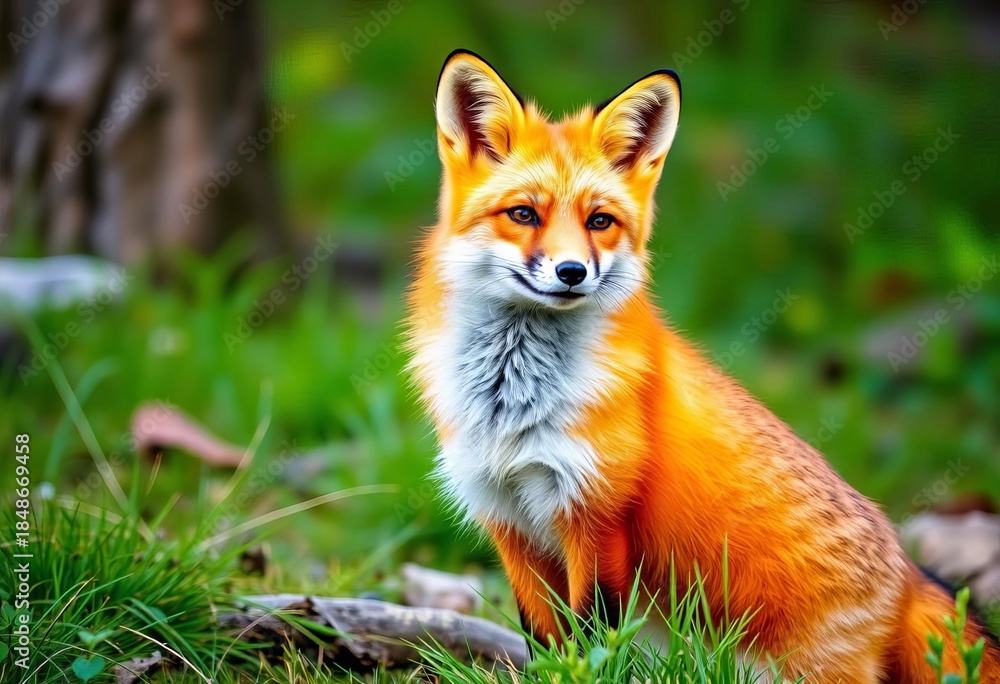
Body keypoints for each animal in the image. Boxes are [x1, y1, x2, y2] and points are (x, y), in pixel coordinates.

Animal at [405, 49, 1000, 683]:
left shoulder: (597, 514)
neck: (514, 402)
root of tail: (910, 572)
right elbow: (544, 640)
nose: (572, 273)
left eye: (599, 222)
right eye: (522, 214)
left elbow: (594, 636)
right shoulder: (506, 515)